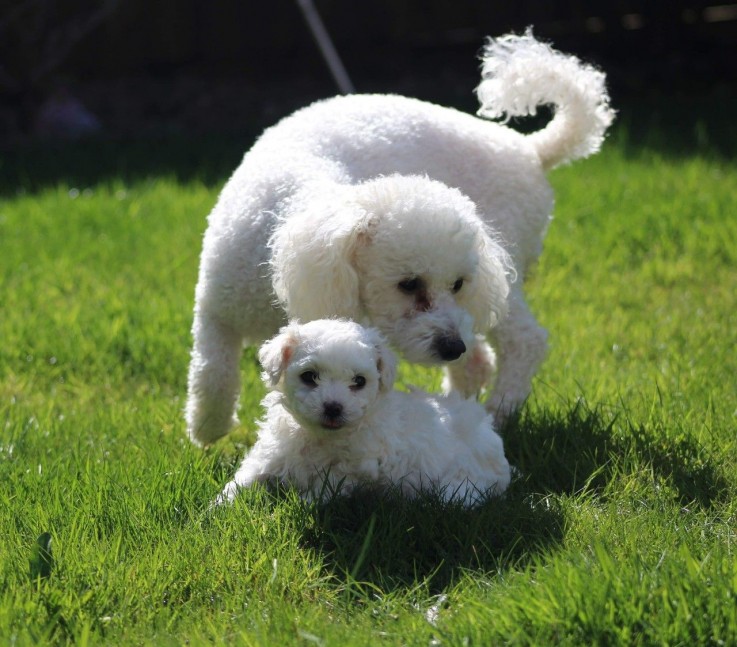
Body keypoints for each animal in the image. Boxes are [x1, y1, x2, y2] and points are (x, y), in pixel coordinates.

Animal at [187, 31, 612, 446]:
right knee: (479, 362)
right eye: (408, 284)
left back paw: (499, 412)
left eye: (457, 283)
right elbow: (212, 369)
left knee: (525, 341)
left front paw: (207, 430)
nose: (451, 347)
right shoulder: (217, 307)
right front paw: (207, 427)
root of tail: (529, 148)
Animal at [216, 322, 508, 508]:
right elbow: (245, 478)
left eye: (359, 381)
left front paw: (297, 506)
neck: (320, 437)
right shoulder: (272, 453)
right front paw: (216, 509)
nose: (333, 407)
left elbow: (324, 489)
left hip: (465, 477)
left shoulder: (354, 469)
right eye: (309, 376)